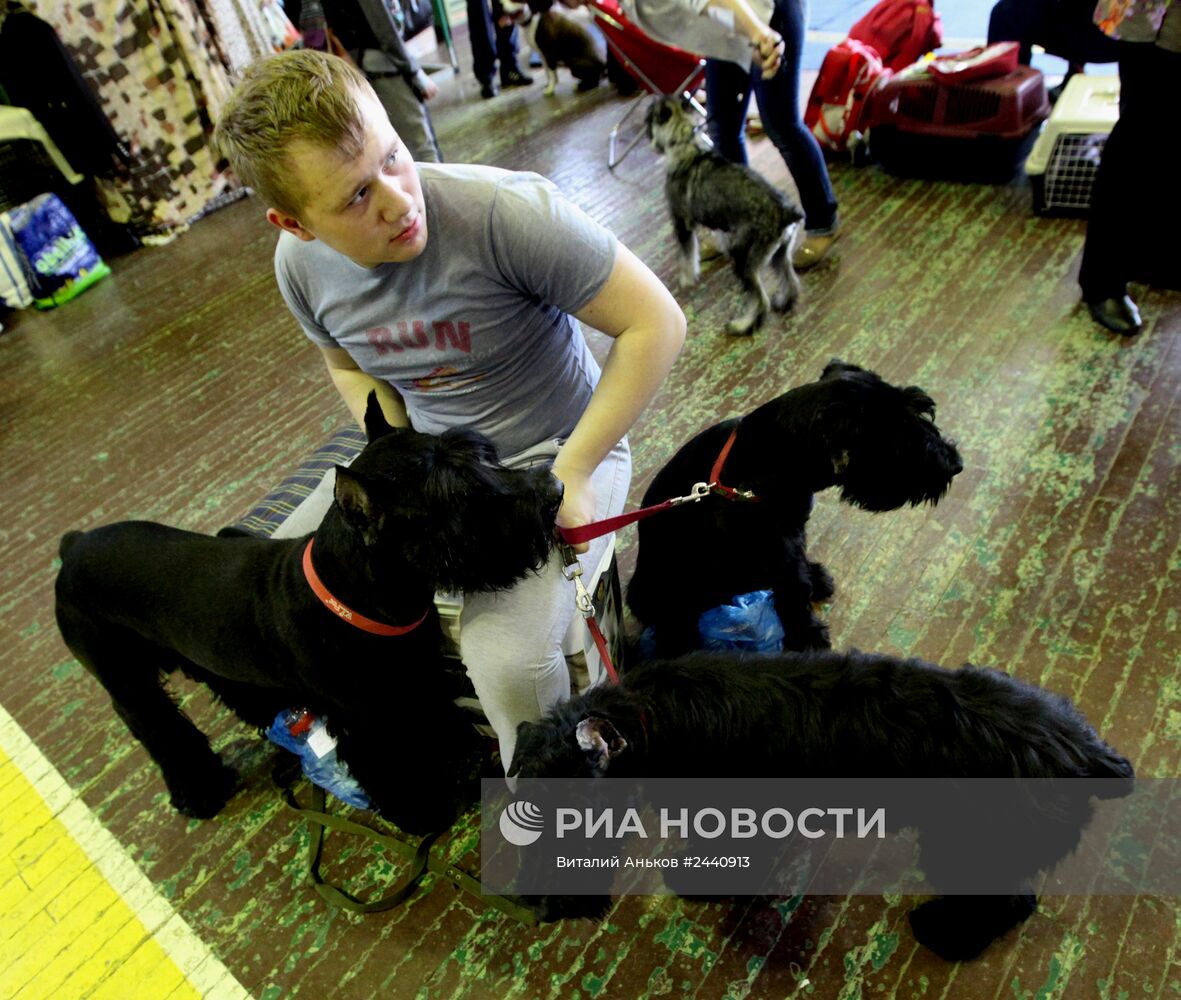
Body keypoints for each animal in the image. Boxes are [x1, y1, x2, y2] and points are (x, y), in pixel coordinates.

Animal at [57, 391, 564, 835]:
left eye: (483, 454)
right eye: (456, 499)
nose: (553, 489)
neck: (359, 597)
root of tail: (72, 549)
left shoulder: (416, 681)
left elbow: (438, 722)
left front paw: (462, 758)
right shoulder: (367, 719)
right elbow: (390, 767)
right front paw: (423, 810)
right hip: (127, 682)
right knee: (159, 730)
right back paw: (200, 792)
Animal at [507, 646, 1133, 963]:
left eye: (573, 819)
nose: (530, 902)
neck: (648, 722)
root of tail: (1085, 750)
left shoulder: (739, 821)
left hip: (970, 848)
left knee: (1007, 903)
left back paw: (945, 936)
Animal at [623, 358, 963, 656]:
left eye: (922, 410)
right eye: (897, 439)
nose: (956, 464)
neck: (777, 457)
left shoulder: (791, 534)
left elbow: (798, 571)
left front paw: (812, 584)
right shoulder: (775, 547)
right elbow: (794, 589)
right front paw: (807, 634)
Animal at [642, 97, 807, 340]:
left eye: (650, 117)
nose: (645, 128)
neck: (684, 142)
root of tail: (786, 211)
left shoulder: (681, 223)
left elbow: (686, 255)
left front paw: (687, 279)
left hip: (744, 260)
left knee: (760, 299)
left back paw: (743, 325)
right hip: (779, 253)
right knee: (789, 277)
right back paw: (784, 301)